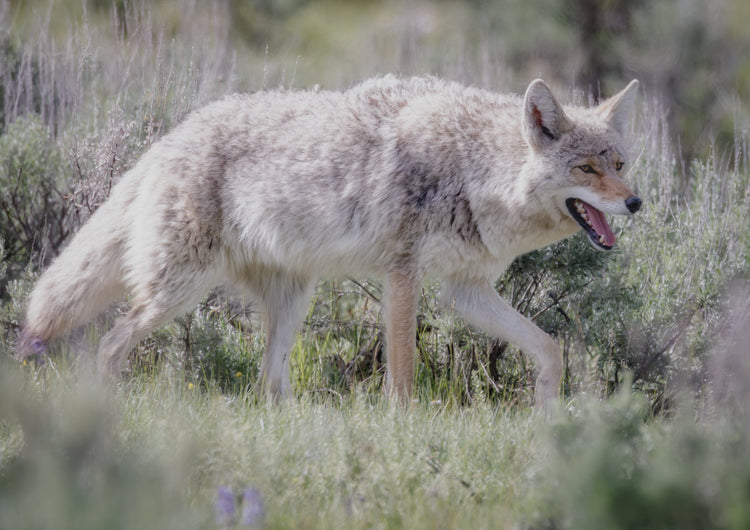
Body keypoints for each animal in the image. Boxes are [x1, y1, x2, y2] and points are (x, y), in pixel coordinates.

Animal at [18, 75, 641, 404]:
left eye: (620, 164)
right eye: (586, 169)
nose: (636, 202)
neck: (474, 170)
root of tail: (168, 138)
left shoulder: (465, 291)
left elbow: (549, 348)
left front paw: (547, 416)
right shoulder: (403, 276)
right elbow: (403, 378)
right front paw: (403, 433)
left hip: (293, 302)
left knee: (267, 381)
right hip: (177, 294)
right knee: (109, 344)